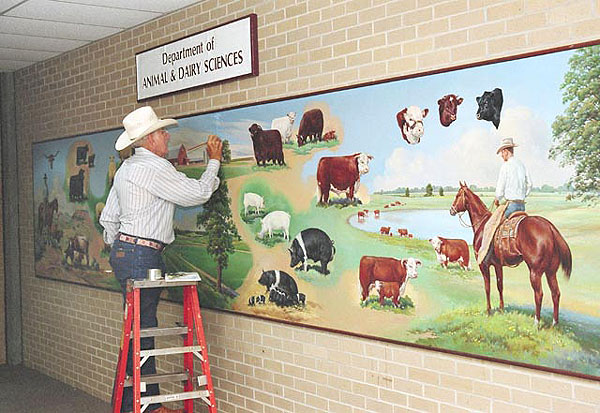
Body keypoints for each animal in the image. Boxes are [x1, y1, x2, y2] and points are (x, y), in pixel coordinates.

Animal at [450, 182, 572, 326]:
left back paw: (536, 322)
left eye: (457, 195)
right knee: (556, 293)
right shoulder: (498, 265)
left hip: (535, 272)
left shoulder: (484, 265)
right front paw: (501, 309)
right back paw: (554, 323)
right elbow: (500, 286)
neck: (483, 224)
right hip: (551, 272)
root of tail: (549, 227)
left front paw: (489, 311)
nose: (451, 210)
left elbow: (487, 287)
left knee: (539, 294)